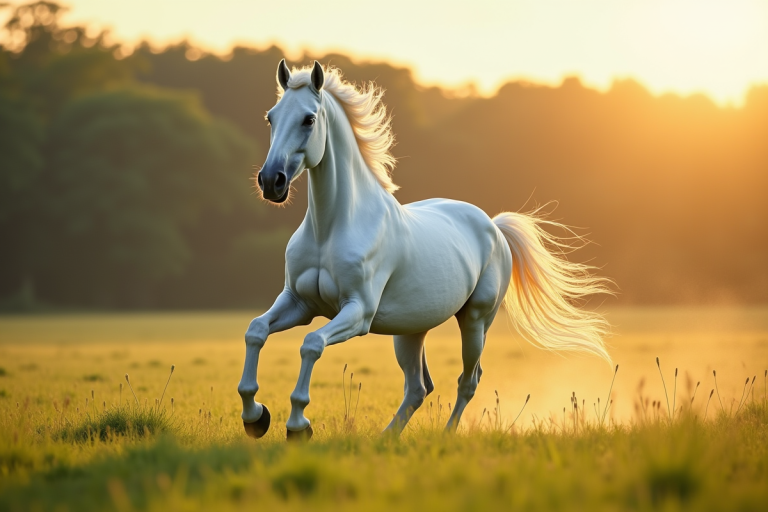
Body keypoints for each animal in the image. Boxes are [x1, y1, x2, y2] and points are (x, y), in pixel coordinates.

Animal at [238, 60, 612, 440]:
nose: (271, 181)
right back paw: (386, 438)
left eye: (309, 119)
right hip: (410, 330)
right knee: (419, 387)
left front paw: (298, 425)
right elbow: (256, 330)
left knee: (468, 381)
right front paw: (256, 417)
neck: (331, 228)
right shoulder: (299, 303)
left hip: (475, 321)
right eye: (271, 117)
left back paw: (445, 436)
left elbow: (311, 344)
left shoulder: (357, 312)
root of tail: (494, 227)